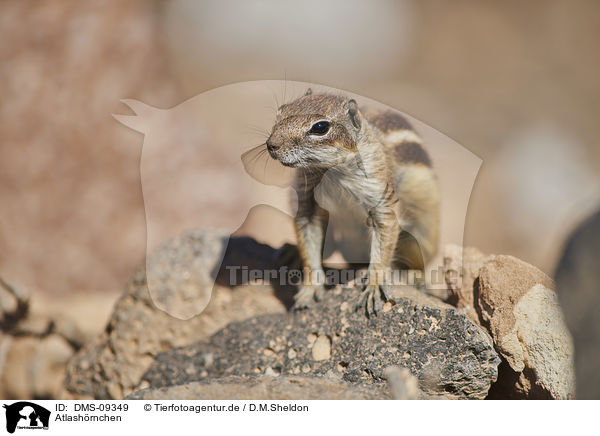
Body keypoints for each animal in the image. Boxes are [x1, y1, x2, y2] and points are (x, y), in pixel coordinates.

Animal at [264, 88, 438, 316]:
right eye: (281, 111)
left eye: (320, 127)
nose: (271, 145)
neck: (334, 172)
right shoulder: (307, 202)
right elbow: (309, 247)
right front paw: (310, 288)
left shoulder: (381, 195)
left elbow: (384, 240)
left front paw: (373, 285)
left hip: (423, 232)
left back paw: (414, 277)